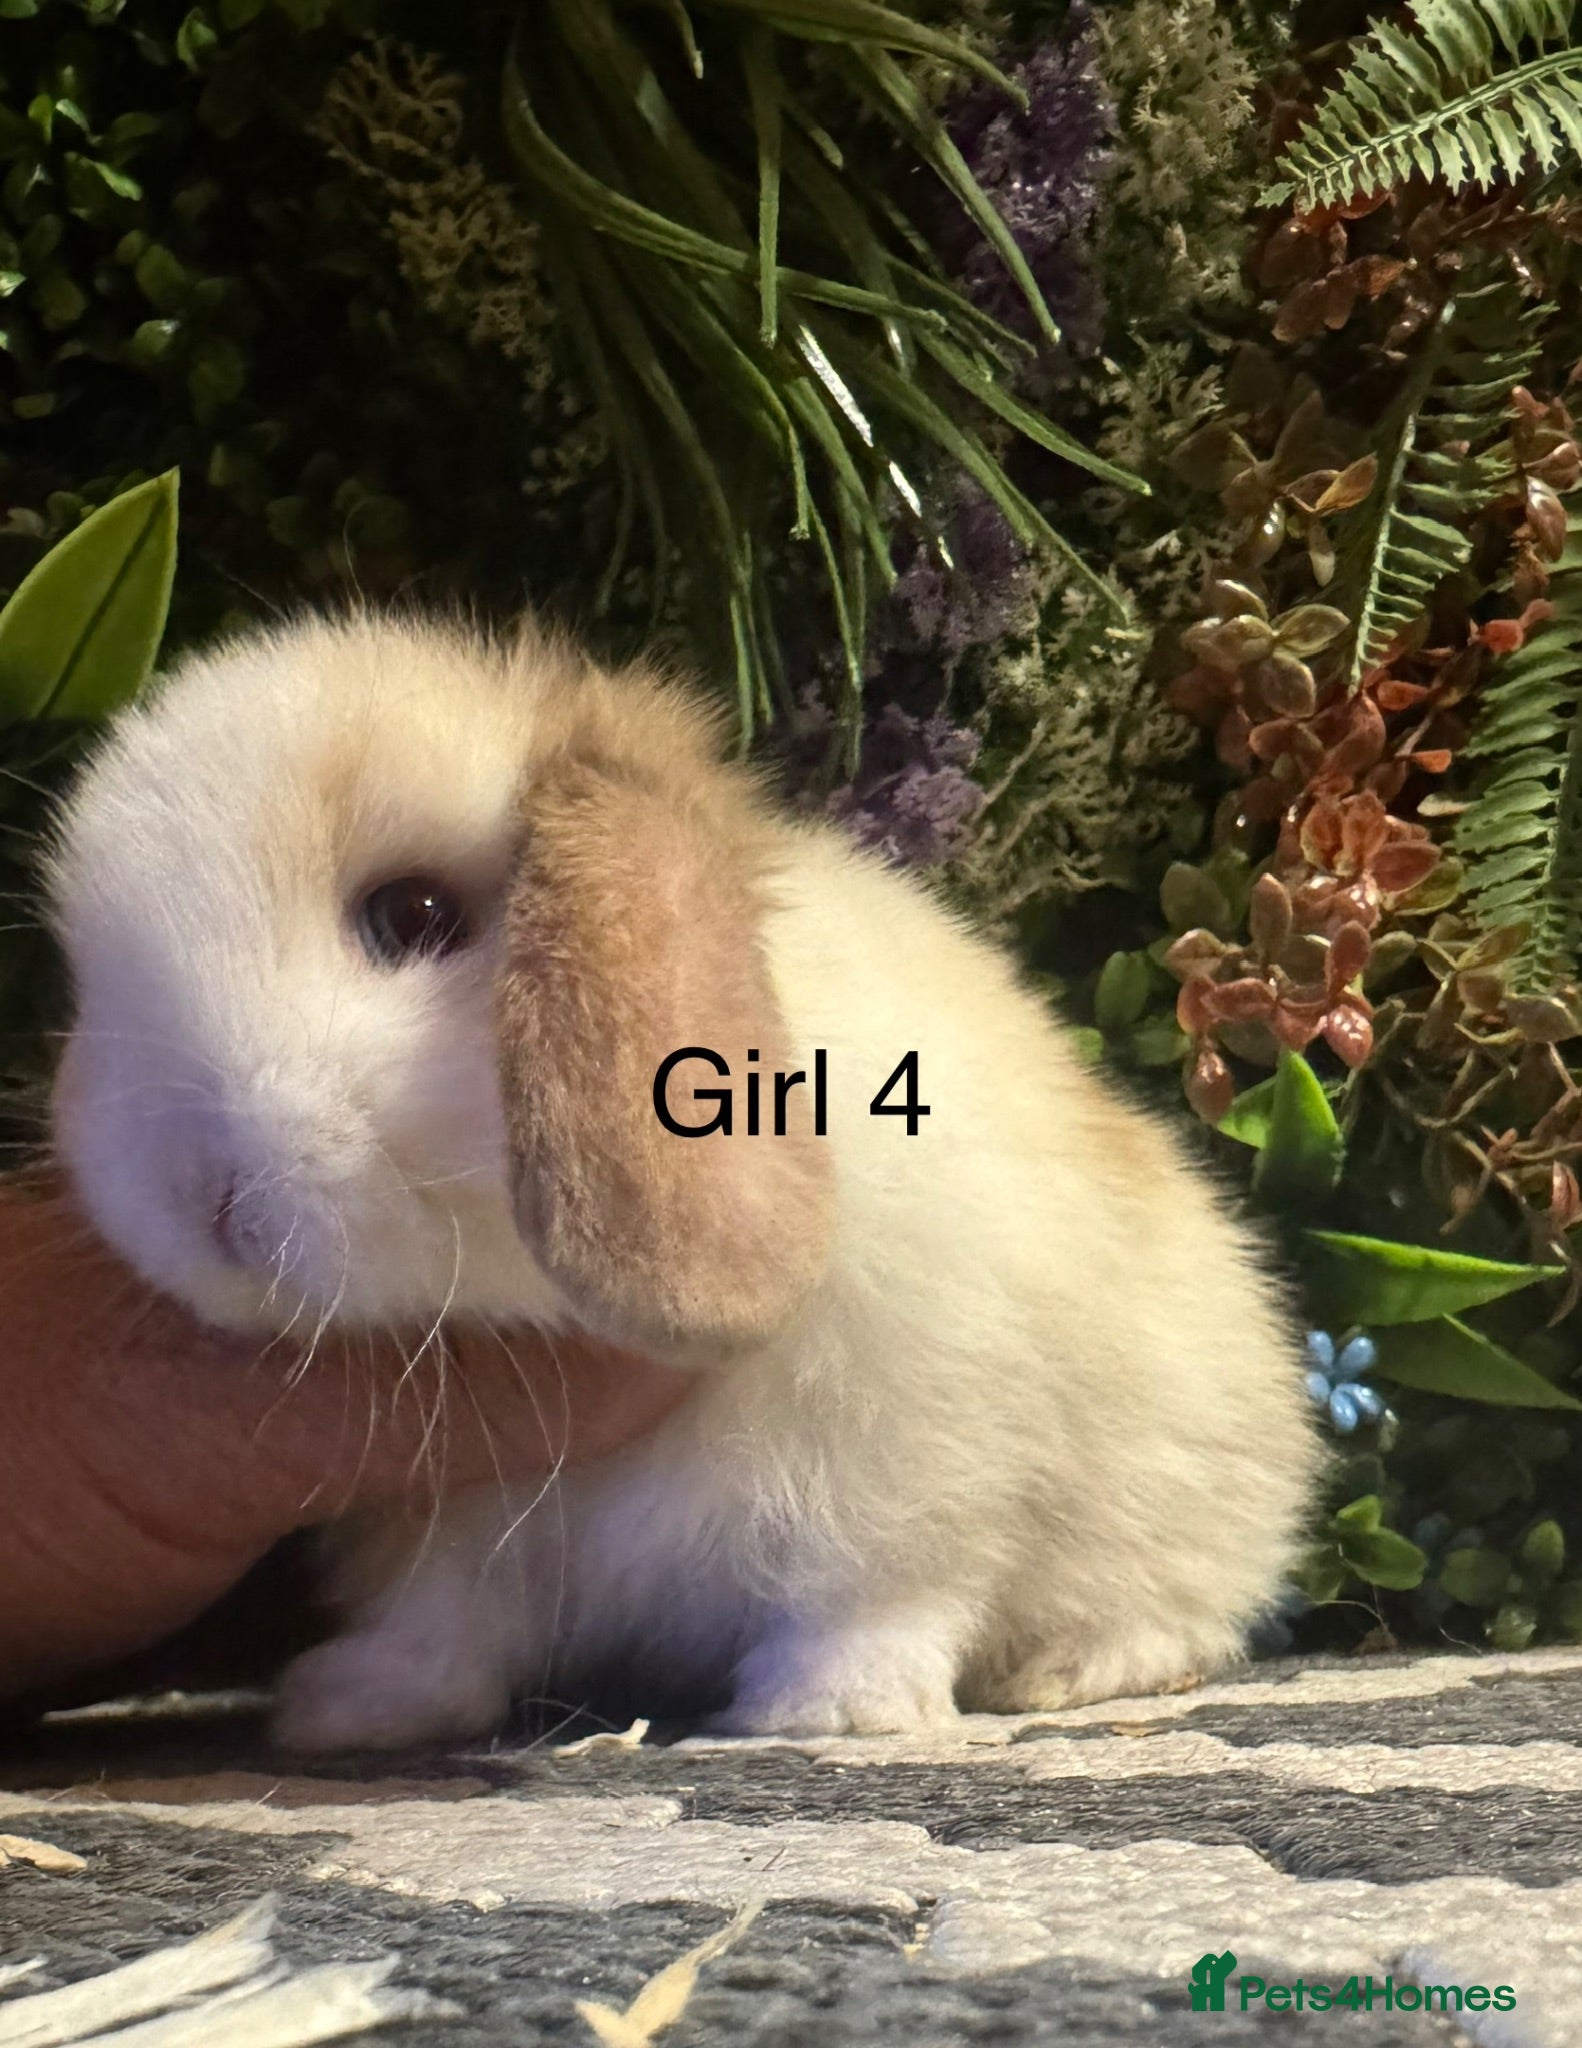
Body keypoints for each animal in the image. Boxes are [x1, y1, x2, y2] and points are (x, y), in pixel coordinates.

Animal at [45, 611, 1321, 1748]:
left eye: (412, 911)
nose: (196, 1197)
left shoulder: (914, 1453)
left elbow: (877, 1589)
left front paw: (832, 1710)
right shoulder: (449, 1522)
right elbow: (440, 1625)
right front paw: (351, 1710)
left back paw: (1067, 1669)